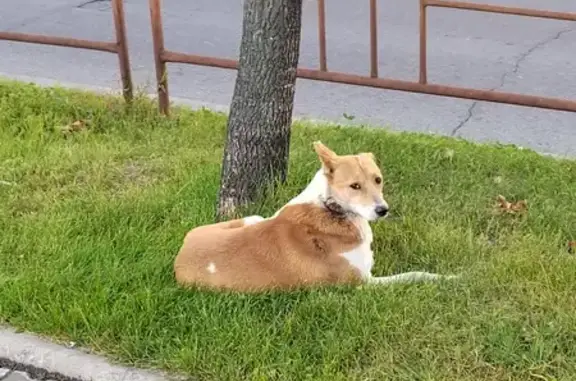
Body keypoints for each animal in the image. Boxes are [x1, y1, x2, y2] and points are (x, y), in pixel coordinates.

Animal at [173, 140, 456, 290]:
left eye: (378, 180)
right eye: (355, 186)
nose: (382, 210)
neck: (330, 208)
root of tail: (179, 258)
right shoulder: (362, 283)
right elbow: (415, 275)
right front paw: (450, 278)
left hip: (252, 218)